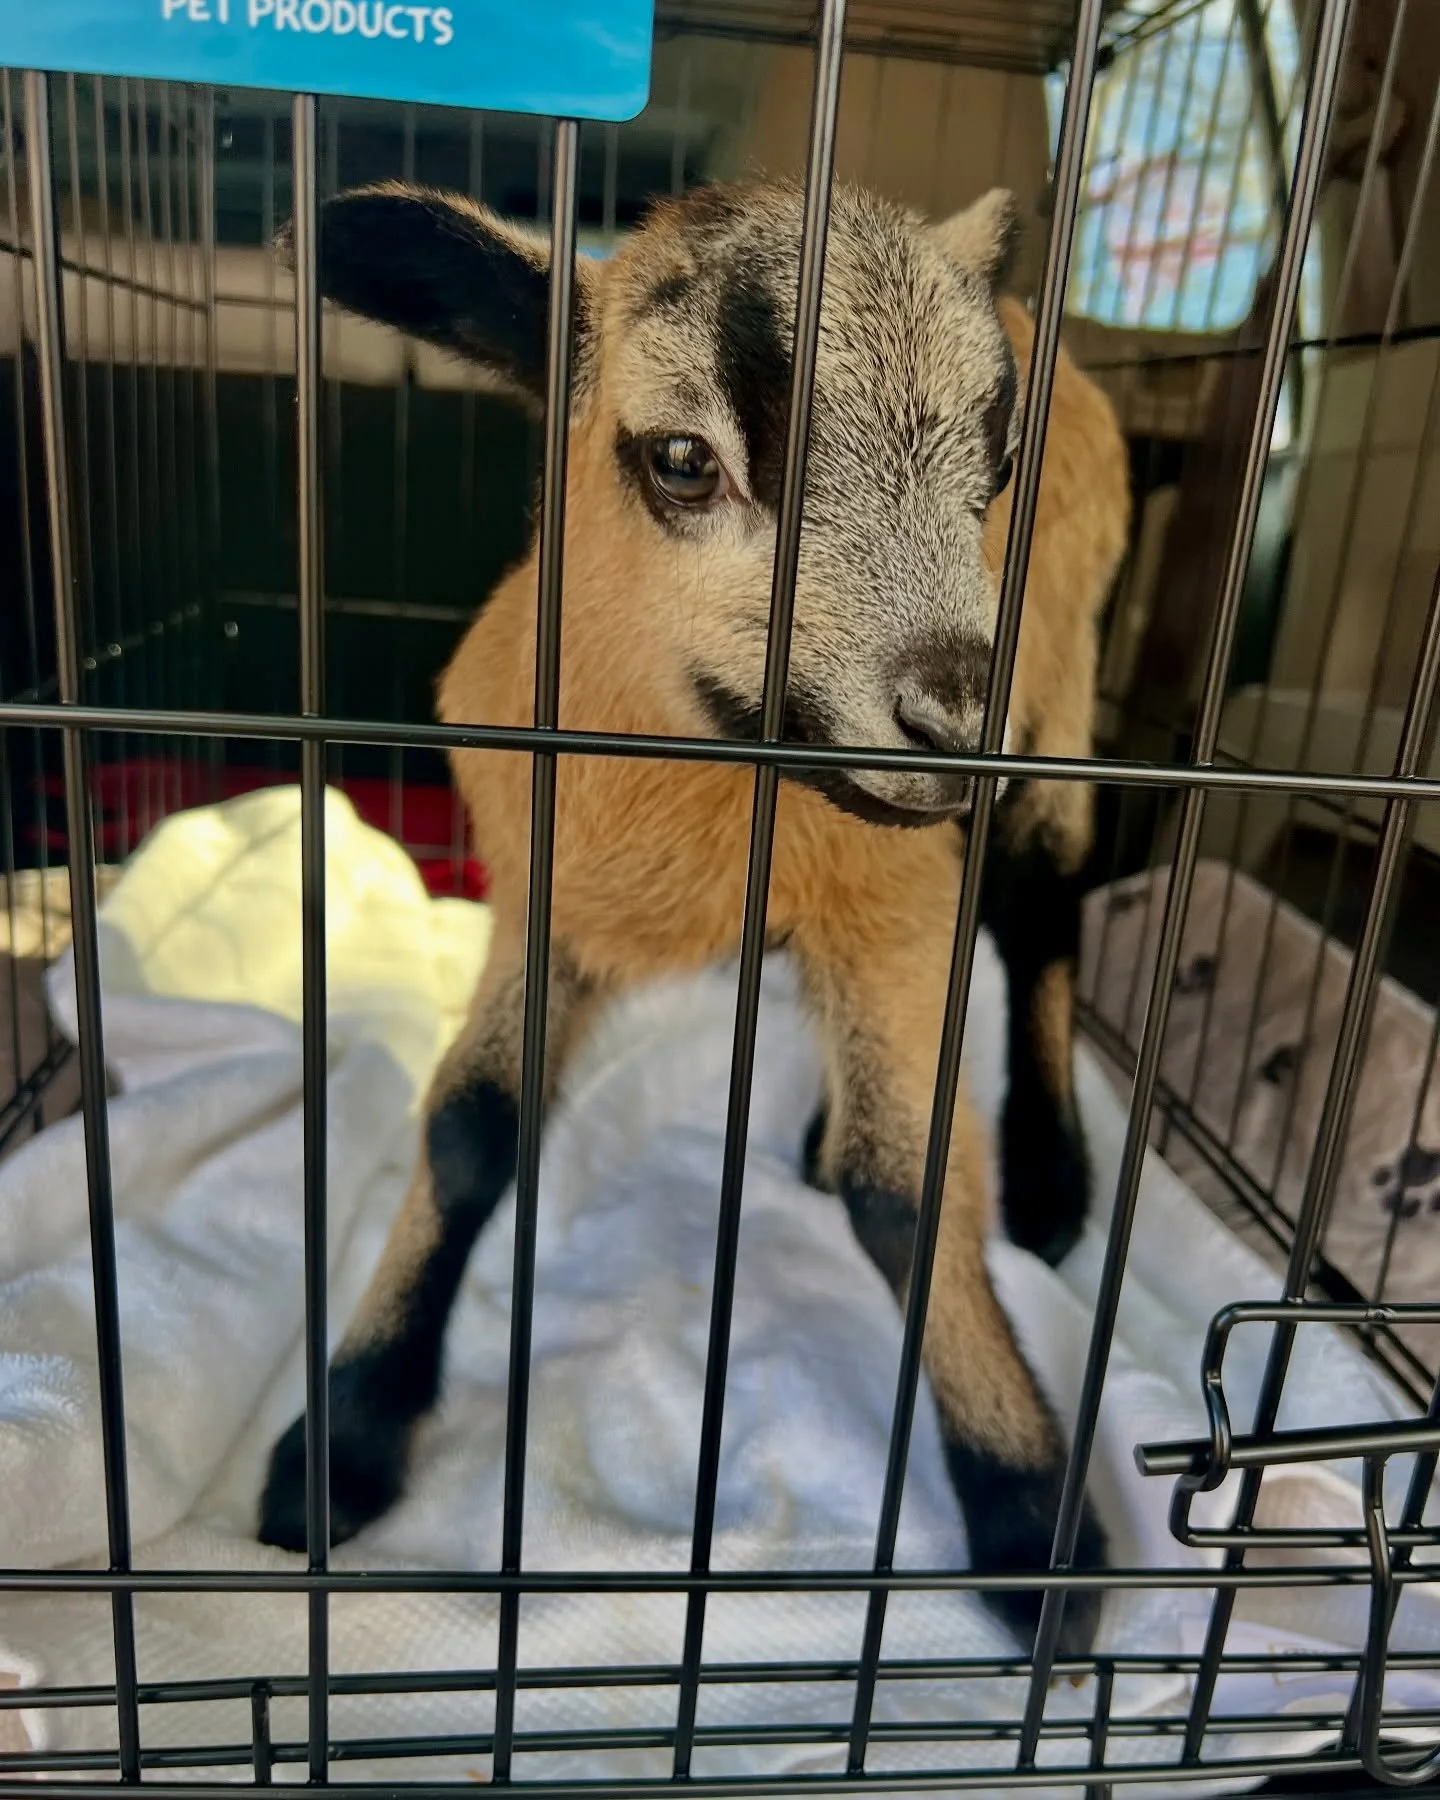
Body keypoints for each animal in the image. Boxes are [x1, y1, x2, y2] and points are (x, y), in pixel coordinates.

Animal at [257, 174, 1131, 1656]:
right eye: (681, 460)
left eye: (997, 468)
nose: (956, 718)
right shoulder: (543, 895)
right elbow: (471, 1129)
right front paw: (346, 1435)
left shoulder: (896, 897)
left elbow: (913, 1197)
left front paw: (1026, 1516)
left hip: (1062, 682)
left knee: (1043, 901)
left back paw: (1053, 1178)